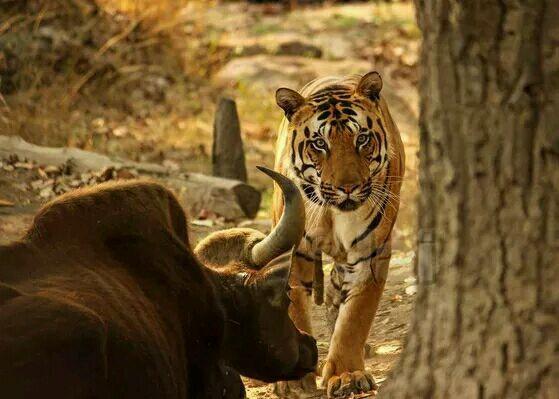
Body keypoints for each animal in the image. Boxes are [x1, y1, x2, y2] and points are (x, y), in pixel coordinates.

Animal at [270, 71, 402, 396]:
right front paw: (295, 380)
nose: (348, 187)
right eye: (319, 143)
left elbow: (355, 317)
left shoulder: (371, 253)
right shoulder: (296, 252)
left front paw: (347, 375)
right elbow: (295, 310)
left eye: (362, 139)